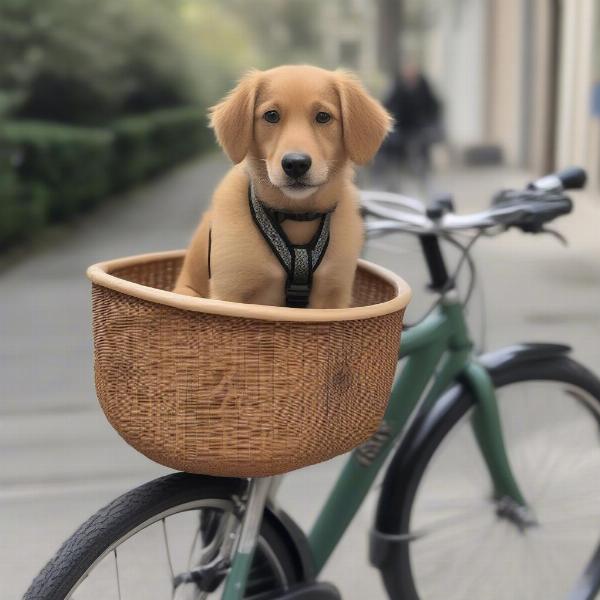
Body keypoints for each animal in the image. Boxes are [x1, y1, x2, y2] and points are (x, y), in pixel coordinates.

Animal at [173, 66, 392, 310]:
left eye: (323, 117)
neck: (296, 216)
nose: (296, 164)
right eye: (271, 116)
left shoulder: (335, 295)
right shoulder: (229, 293)